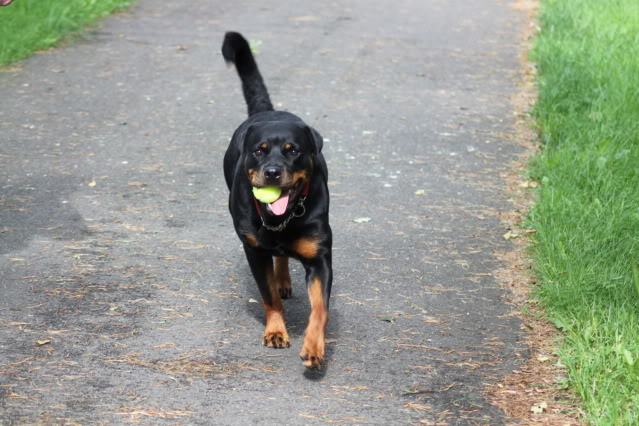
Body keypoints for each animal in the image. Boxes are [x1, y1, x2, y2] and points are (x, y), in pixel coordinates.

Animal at [221, 32, 332, 370]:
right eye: (259, 150)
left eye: (292, 150)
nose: (272, 172)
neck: (284, 219)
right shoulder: (253, 250)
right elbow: (267, 294)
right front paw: (275, 331)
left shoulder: (320, 256)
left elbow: (320, 308)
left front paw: (313, 346)